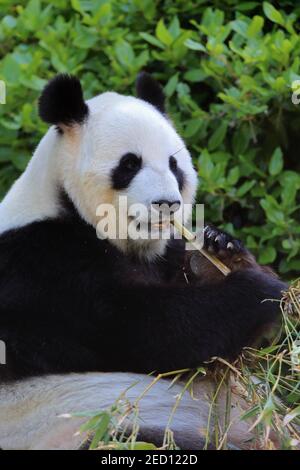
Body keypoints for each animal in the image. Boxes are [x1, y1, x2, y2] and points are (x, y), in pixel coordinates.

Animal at [0, 72, 286, 448]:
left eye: (174, 165)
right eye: (129, 164)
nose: (167, 203)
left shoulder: (163, 253)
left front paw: (222, 250)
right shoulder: (45, 267)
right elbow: (148, 330)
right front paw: (263, 290)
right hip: (84, 424)